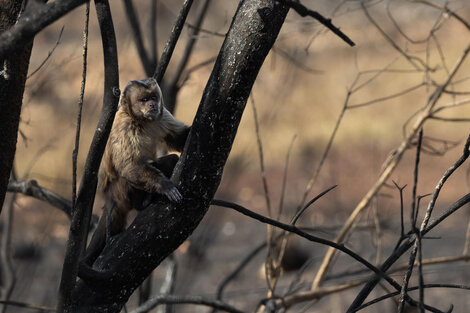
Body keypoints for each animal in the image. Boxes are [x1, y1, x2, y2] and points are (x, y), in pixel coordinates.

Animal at [81, 77, 190, 266]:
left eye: (153, 97)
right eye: (143, 100)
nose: (152, 105)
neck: (142, 121)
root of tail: (108, 198)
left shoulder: (162, 115)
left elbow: (179, 137)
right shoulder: (125, 127)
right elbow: (128, 166)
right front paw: (164, 186)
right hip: (119, 191)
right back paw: (142, 202)